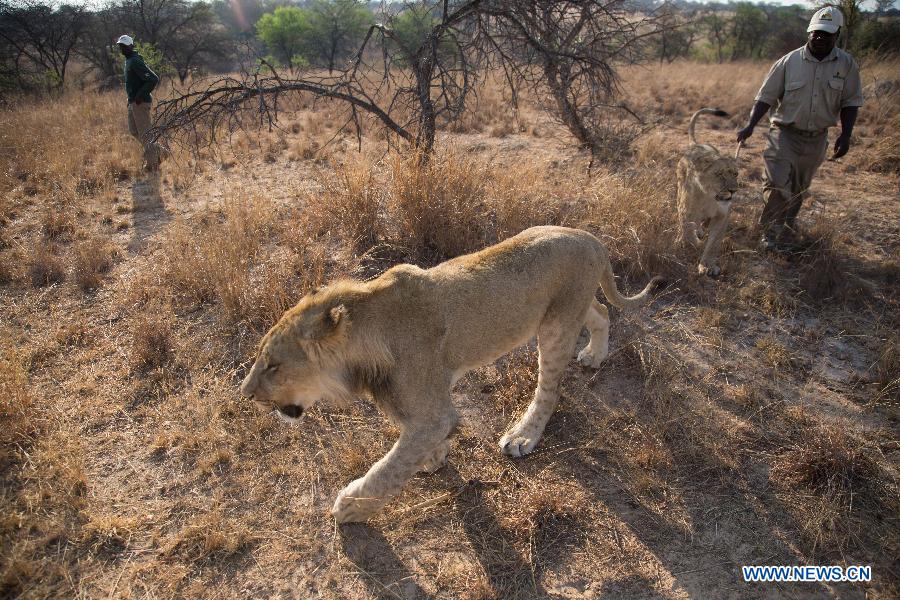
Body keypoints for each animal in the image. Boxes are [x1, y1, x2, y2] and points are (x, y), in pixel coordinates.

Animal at [241, 227, 660, 524]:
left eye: (273, 365)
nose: (245, 393)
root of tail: (591, 238)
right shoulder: (418, 408)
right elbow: (410, 444)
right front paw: (434, 457)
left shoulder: (434, 411)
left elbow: (388, 469)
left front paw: (350, 507)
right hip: (567, 310)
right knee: (600, 312)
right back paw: (594, 354)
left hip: (556, 327)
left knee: (550, 388)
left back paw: (523, 435)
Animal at [680, 106, 740, 278]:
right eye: (719, 174)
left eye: (735, 174)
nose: (733, 191)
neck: (711, 198)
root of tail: (696, 145)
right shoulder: (686, 210)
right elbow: (688, 231)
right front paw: (694, 243)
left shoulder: (723, 216)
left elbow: (714, 243)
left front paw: (708, 265)